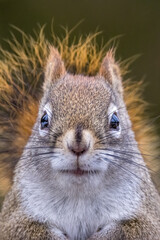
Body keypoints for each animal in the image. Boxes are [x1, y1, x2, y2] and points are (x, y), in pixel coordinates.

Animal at [0, 27, 160, 238]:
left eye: (115, 121)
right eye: (44, 119)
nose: (78, 146)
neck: (79, 195)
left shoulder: (149, 215)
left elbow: (131, 229)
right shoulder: (14, 217)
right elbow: (26, 230)